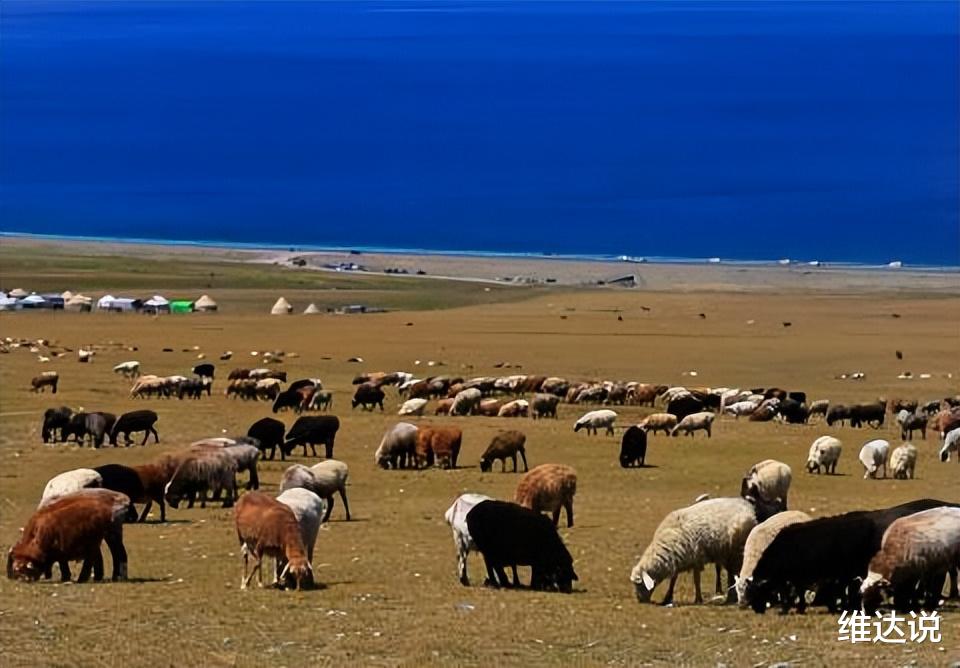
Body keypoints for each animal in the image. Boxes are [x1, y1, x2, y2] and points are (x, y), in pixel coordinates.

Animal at [632, 496, 780, 604]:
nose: (640, 600)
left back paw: (731, 597)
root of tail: (748, 508)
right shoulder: (681, 559)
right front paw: (667, 598)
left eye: (639, 584)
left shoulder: (696, 557)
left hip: (735, 550)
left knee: (735, 573)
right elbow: (674, 579)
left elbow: (696, 580)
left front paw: (698, 599)